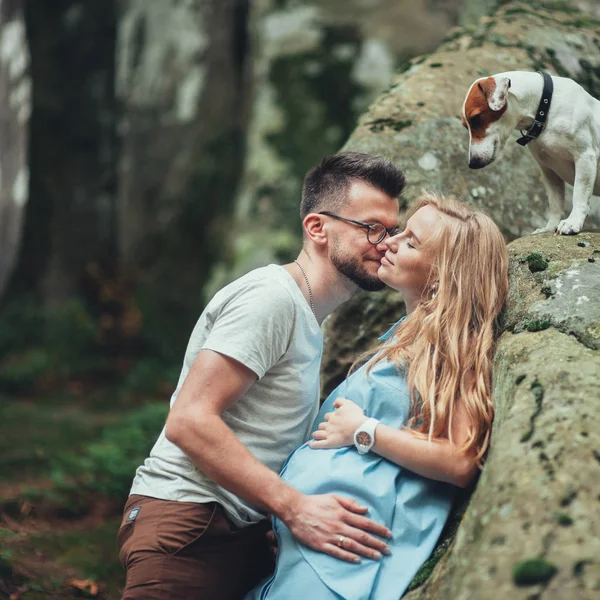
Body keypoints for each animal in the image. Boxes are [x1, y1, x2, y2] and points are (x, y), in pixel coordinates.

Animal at [462, 71, 596, 236]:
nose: (472, 163)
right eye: (465, 125)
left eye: (476, 118)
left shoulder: (585, 157)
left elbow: (579, 194)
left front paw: (573, 222)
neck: (545, 108)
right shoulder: (548, 170)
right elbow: (555, 203)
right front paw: (549, 228)